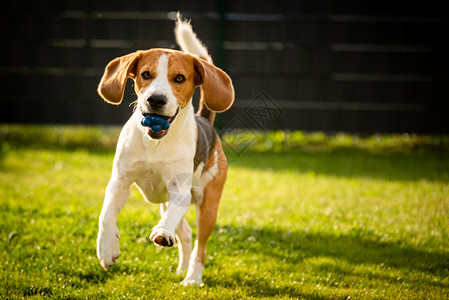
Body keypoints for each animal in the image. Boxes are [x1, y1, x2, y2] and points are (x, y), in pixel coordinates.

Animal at [95, 14, 234, 286]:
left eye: (179, 78)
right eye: (145, 74)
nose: (156, 99)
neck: (156, 144)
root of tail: (205, 120)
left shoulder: (180, 190)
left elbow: (169, 221)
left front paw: (162, 232)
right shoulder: (119, 181)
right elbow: (106, 215)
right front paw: (106, 249)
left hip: (207, 205)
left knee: (200, 244)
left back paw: (192, 277)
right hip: (165, 201)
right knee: (187, 233)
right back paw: (182, 268)